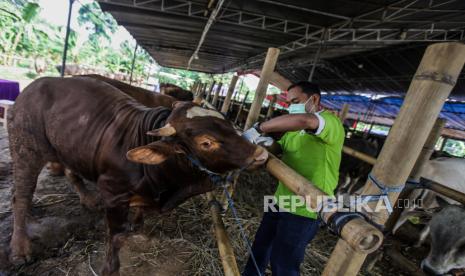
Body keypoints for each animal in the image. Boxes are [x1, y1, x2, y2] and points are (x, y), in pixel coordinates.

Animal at [8, 76, 268, 274]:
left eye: (229, 123)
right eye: (206, 142)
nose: (261, 154)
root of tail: (34, 86)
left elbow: (139, 214)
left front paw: (137, 224)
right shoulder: (112, 193)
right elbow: (116, 236)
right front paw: (110, 268)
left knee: (71, 173)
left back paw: (88, 200)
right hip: (26, 150)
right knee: (21, 197)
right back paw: (19, 249)